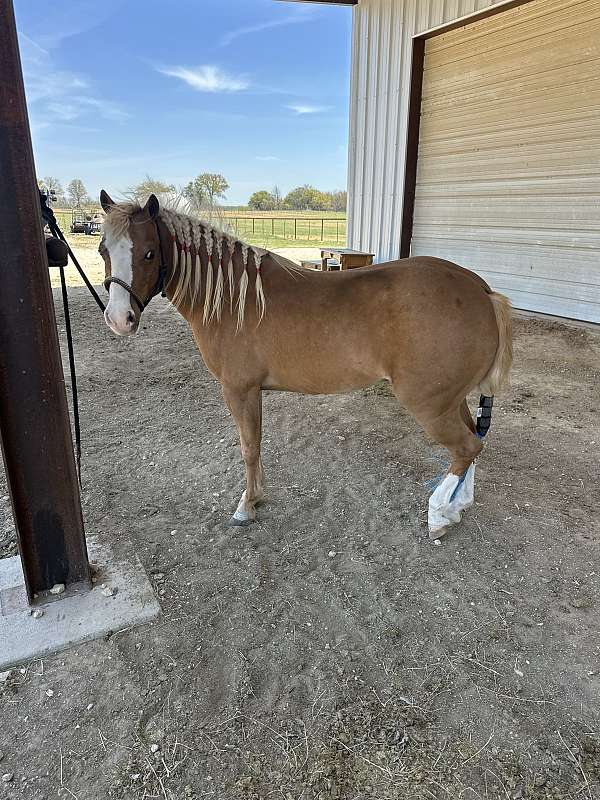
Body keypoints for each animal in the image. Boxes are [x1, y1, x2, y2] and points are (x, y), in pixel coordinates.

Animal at [98, 191, 512, 539]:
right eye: (104, 250)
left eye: (149, 253)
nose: (120, 319)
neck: (233, 299)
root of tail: (480, 290)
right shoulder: (251, 391)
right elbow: (255, 444)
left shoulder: (239, 390)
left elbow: (249, 447)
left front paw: (247, 505)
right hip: (451, 399)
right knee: (472, 440)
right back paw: (457, 506)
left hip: (429, 403)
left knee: (466, 447)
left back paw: (439, 513)